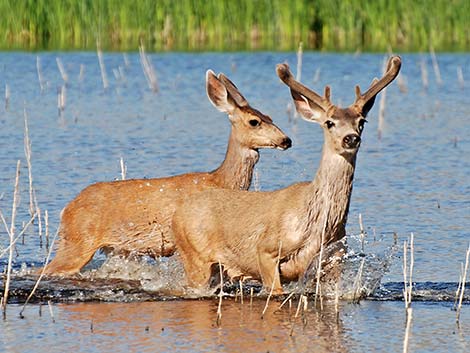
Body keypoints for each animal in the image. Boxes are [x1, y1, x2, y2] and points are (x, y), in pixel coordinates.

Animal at [41, 69, 290, 276]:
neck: (219, 180)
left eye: (270, 117)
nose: (286, 140)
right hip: (78, 241)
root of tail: (66, 210)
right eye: (254, 121)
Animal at [174, 54, 402, 292]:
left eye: (361, 122)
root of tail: (178, 214)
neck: (318, 226)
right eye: (329, 123)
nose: (351, 138)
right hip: (195, 258)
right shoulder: (266, 250)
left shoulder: (334, 259)